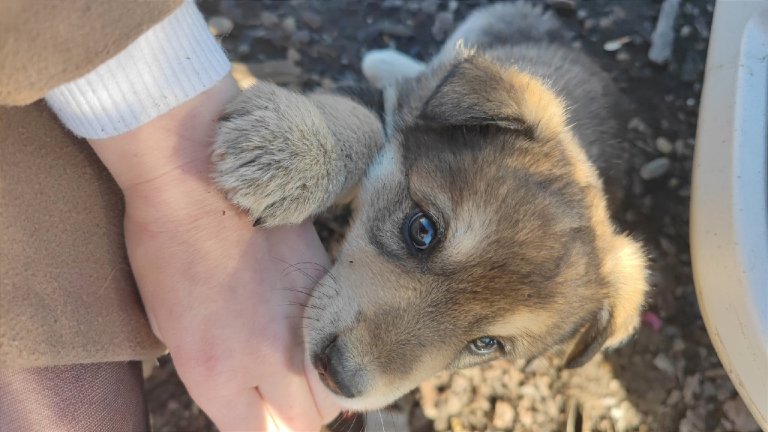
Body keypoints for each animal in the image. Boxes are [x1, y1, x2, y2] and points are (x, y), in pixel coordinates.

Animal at [212, 0, 648, 412]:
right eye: (421, 230)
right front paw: (289, 151)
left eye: (486, 343)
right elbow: (370, 125)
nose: (337, 375)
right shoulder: (397, 108)